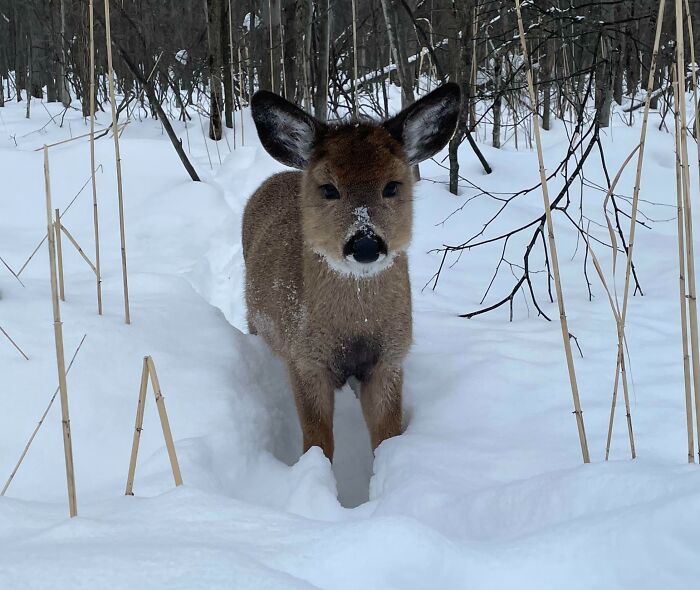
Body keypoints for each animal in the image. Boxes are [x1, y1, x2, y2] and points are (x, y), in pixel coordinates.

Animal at [243, 83, 460, 461]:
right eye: (329, 188)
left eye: (392, 185)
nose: (366, 245)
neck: (354, 328)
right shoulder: (305, 361)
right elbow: (317, 440)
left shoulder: (389, 360)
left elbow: (387, 435)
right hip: (255, 320)